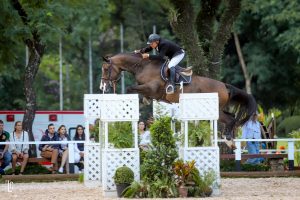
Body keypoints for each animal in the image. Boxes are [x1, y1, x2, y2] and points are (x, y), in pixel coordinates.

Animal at [99, 52, 256, 141]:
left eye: (106, 69)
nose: (103, 87)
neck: (143, 66)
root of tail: (224, 85)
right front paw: (144, 102)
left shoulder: (151, 88)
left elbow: (130, 88)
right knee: (231, 116)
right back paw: (230, 137)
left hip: (214, 109)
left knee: (230, 119)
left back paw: (228, 138)